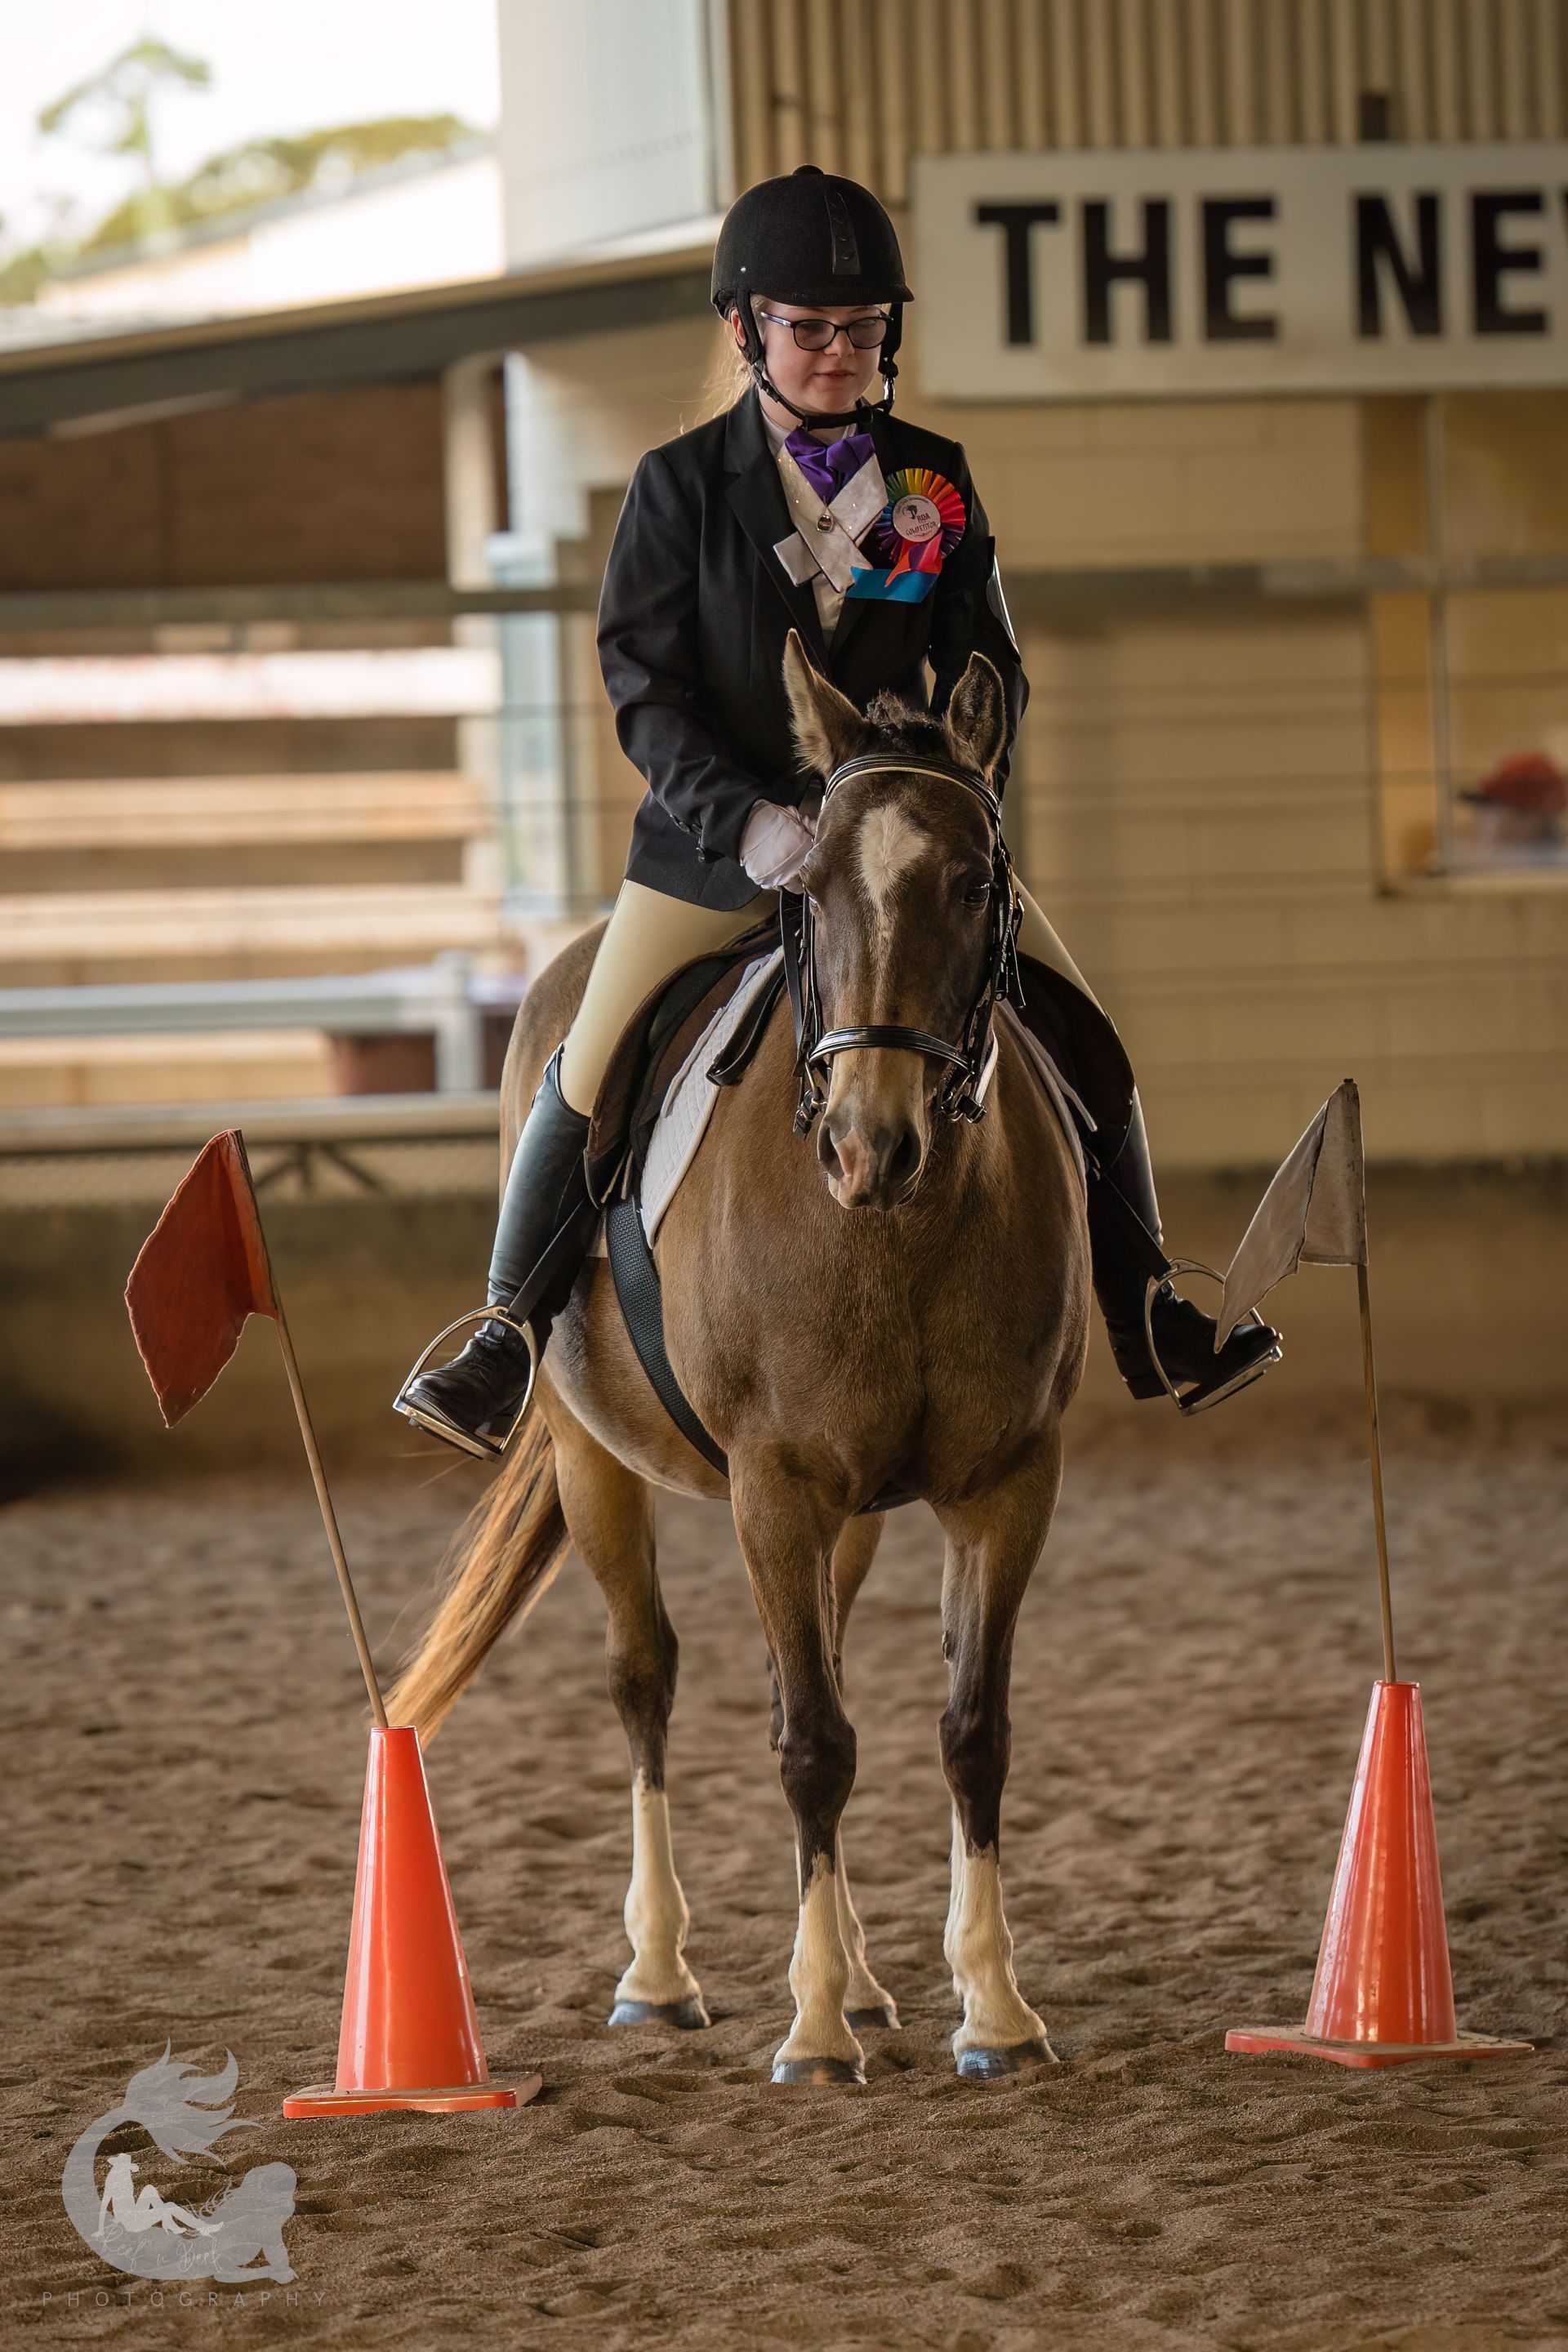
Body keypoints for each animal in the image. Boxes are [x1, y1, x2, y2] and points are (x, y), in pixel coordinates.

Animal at [389, 635, 1090, 2085]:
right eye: (808, 890)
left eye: (974, 882)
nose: (872, 1143)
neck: (896, 1230)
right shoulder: (775, 1482)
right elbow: (811, 1745)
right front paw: (813, 2035)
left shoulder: (1006, 1483)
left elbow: (971, 1733)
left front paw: (994, 2011)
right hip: (598, 1456)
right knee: (646, 1680)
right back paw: (661, 1976)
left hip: (849, 1514)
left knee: (807, 1660)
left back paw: (870, 1984)